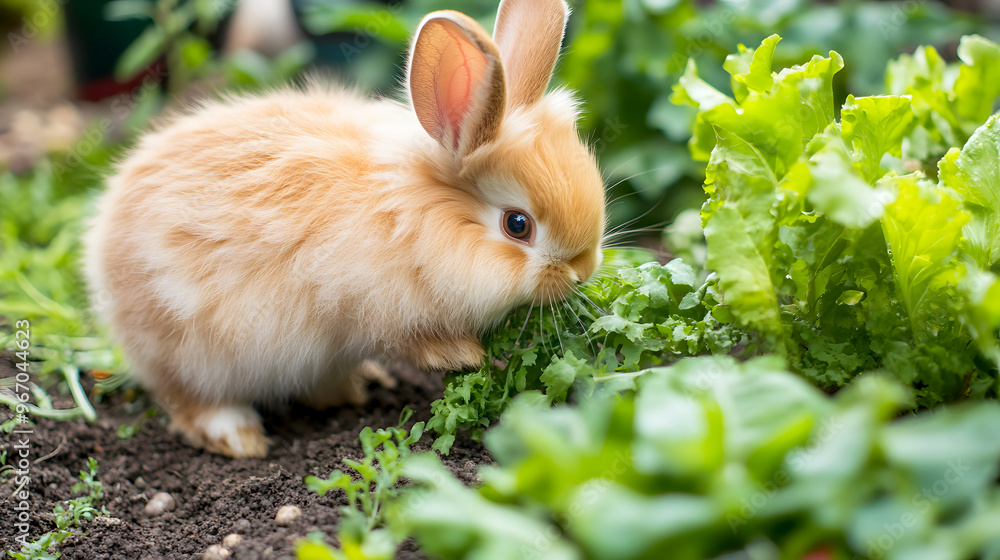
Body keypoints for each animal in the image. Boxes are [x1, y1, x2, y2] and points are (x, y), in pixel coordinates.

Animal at [83, 0, 606, 458]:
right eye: (518, 225)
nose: (582, 272)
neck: (411, 218)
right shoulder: (376, 305)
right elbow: (410, 339)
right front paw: (465, 357)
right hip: (192, 352)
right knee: (190, 399)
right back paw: (240, 439)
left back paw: (358, 388)